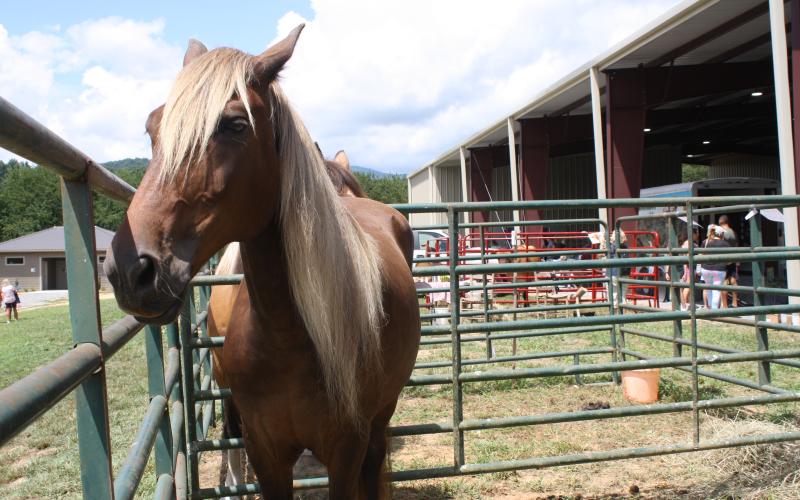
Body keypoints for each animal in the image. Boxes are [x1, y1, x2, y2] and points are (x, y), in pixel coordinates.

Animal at [104, 25, 421, 499]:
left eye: (235, 124)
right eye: (152, 127)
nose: (129, 269)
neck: (288, 337)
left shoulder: (346, 448)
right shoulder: (265, 450)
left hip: (380, 418)